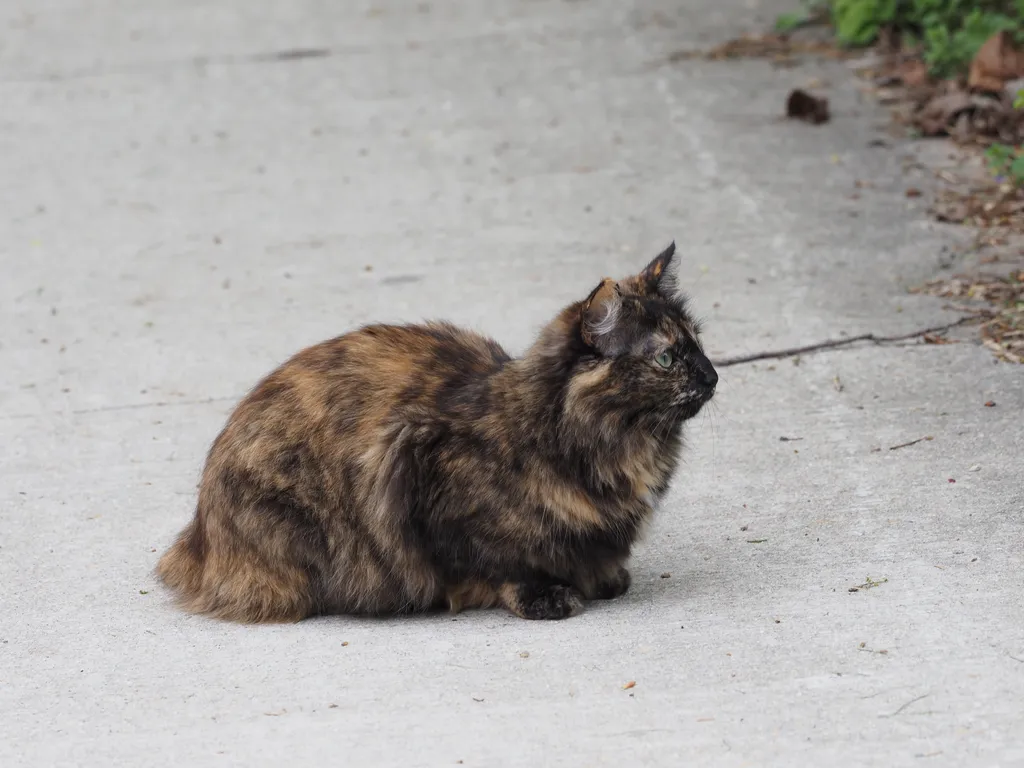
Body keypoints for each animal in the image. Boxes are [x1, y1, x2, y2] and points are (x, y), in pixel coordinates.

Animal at [157, 243, 720, 622]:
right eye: (667, 359)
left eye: (698, 344)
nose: (713, 376)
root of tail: (197, 537)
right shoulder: (414, 463)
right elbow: (502, 561)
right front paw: (546, 595)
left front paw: (604, 577)